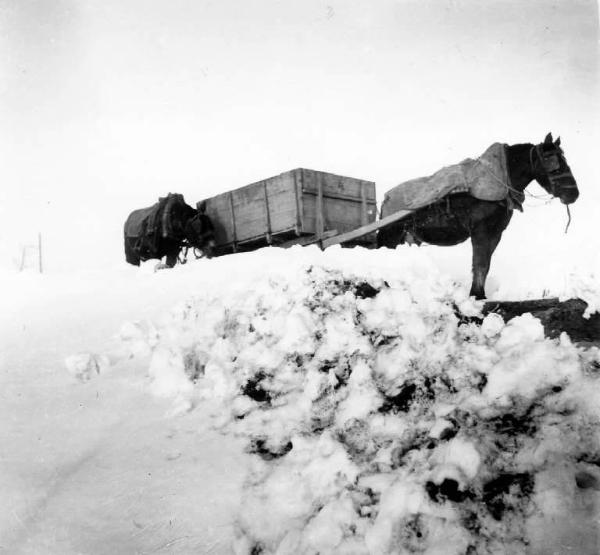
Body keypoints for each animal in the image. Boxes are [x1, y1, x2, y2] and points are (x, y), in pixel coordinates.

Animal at [378, 134, 580, 300]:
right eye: (554, 162)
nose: (573, 194)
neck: (500, 178)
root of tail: (386, 198)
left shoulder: (496, 233)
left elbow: (486, 264)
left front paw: (480, 294)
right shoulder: (481, 230)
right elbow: (480, 263)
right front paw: (476, 295)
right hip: (390, 235)